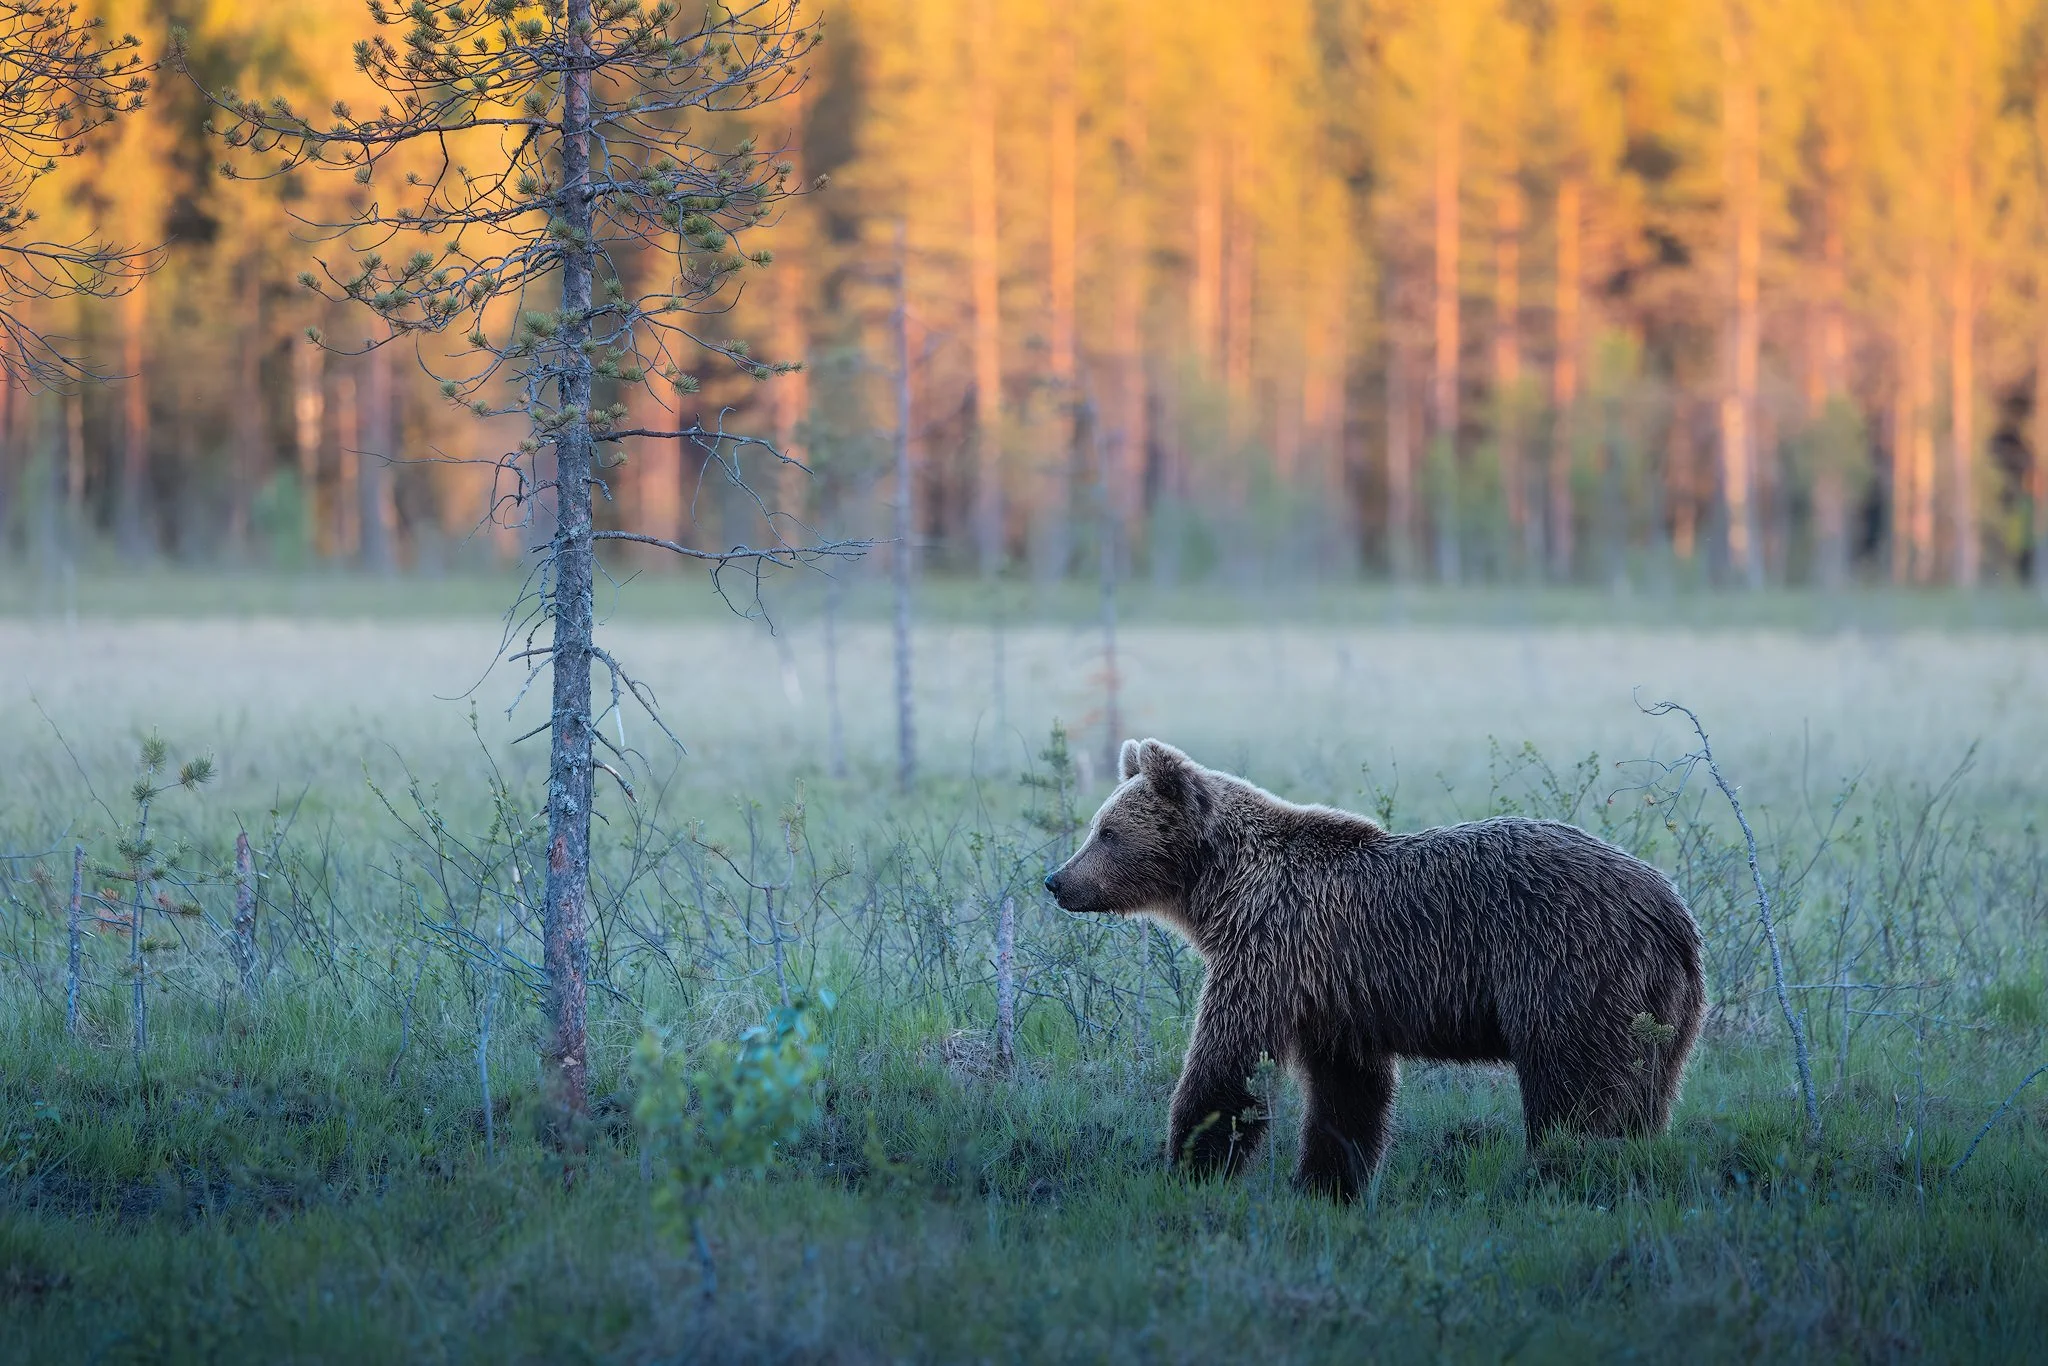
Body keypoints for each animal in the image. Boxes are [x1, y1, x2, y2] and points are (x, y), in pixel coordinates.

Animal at [1042, 738, 1705, 1200]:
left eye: (1106, 831)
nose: (1056, 880)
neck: (1224, 895)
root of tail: (1669, 909)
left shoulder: (1273, 953)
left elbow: (1227, 1065)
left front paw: (1186, 1164)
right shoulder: (1334, 996)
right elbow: (1348, 1094)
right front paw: (1329, 1183)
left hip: (1567, 969)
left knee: (1571, 1091)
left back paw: (1559, 1172)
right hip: (1661, 1010)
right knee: (1645, 1097)